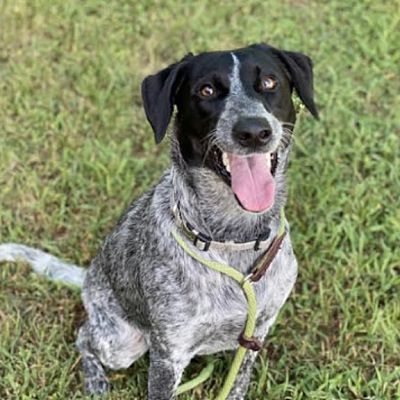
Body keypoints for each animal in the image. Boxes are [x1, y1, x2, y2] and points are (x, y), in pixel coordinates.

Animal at [0, 42, 318, 398]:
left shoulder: (256, 333)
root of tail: (88, 277)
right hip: (123, 342)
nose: (252, 131)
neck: (233, 238)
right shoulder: (169, 354)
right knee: (84, 337)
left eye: (269, 82)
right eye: (206, 90)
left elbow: (238, 382)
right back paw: (95, 380)